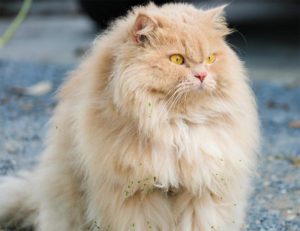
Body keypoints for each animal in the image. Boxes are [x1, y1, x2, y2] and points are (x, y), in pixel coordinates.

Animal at [0, 2, 258, 231]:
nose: (202, 75)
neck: (176, 126)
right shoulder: (135, 195)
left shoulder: (201, 189)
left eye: (211, 59)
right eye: (177, 59)